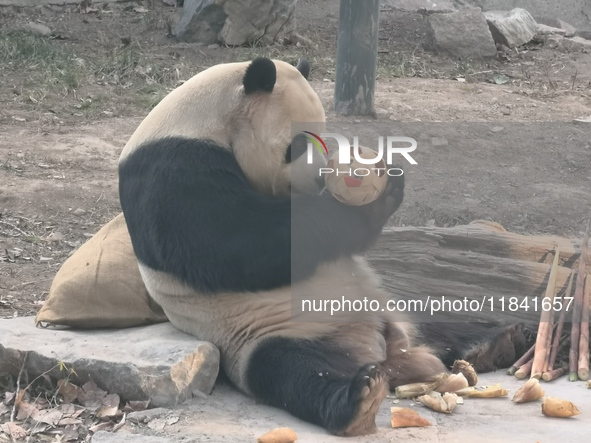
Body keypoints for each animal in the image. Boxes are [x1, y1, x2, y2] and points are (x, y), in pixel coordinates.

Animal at [119, 57, 528, 436]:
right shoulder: (173, 170)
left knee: (441, 321)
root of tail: (391, 354)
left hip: (394, 307)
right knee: (293, 372)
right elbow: (238, 242)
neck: (201, 121)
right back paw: (357, 400)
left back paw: (501, 341)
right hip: (264, 333)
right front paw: (371, 201)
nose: (319, 180)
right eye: (297, 144)